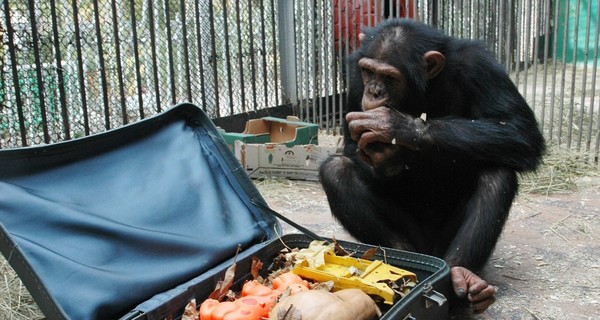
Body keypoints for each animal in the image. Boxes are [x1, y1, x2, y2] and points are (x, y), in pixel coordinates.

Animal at [322, 18, 548, 312]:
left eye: (389, 77)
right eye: (368, 72)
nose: (374, 92)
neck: (423, 88)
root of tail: (431, 250)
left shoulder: (481, 66)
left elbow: (519, 129)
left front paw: (395, 126)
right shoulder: (354, 79)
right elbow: (350, 145)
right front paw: (387, 158)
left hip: (445, 241)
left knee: (497, 174)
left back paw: (459, 278)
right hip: (414, 236)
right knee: (336, 171)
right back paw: (399, 260)